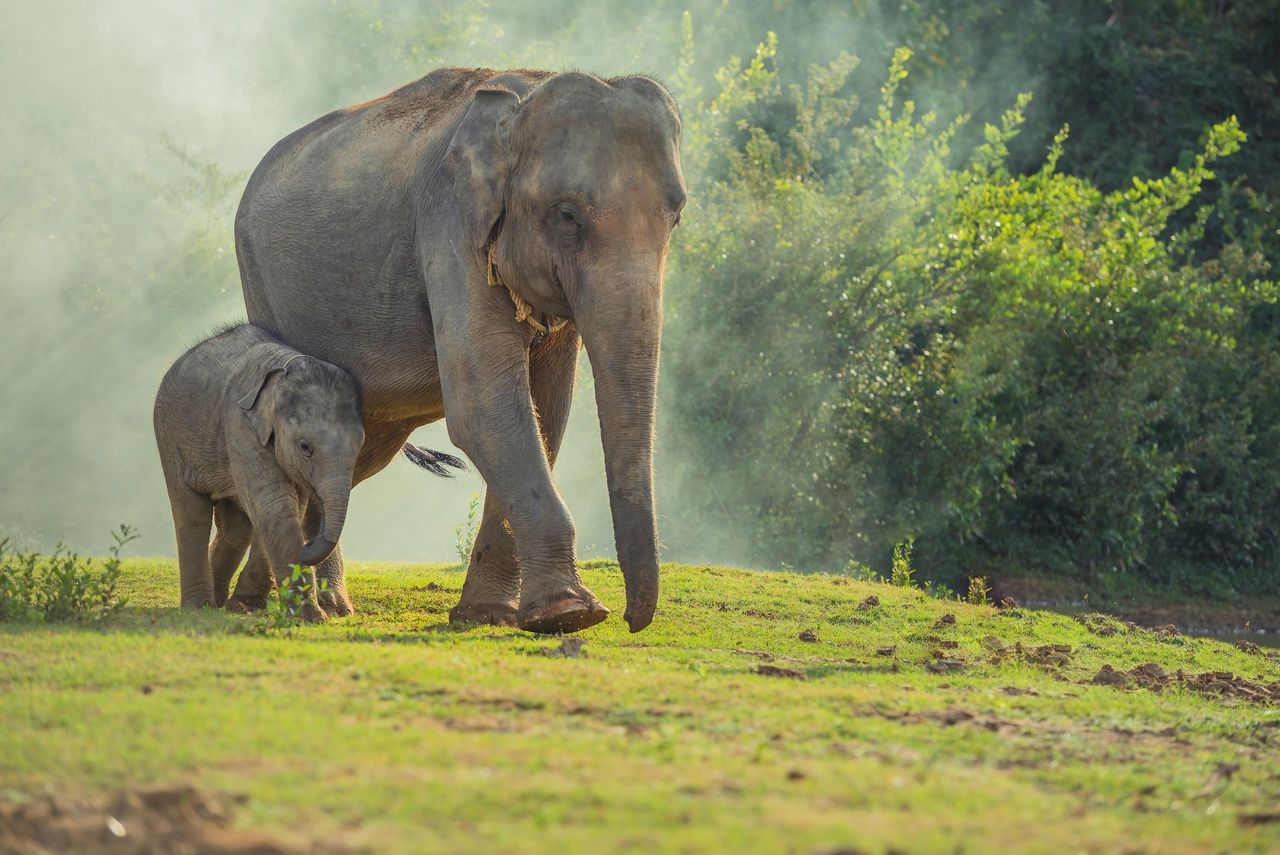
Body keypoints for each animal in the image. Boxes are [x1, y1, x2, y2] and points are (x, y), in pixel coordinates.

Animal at [158, 323, 366, 616]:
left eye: (361, 445)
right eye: (305, 447)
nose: (308, 543)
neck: (285, 367)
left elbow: (289, 506)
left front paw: (245, 606)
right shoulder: (240, 425)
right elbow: (272, 504)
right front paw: (313, 616)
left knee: (237, 529)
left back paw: (219, 602)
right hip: (170, 438)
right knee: (192, 515)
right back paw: (199, 606)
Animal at [234, 68, 686, 634]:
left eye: (677, 215)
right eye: (567, 215)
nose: (630, 619)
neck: (522, 99)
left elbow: (545, 413)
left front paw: (491, 615)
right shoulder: (449, 225)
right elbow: (485, 409)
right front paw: (573, 613)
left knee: (356, 451)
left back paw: (309, 600)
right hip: (260, 281)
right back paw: (300, 605)